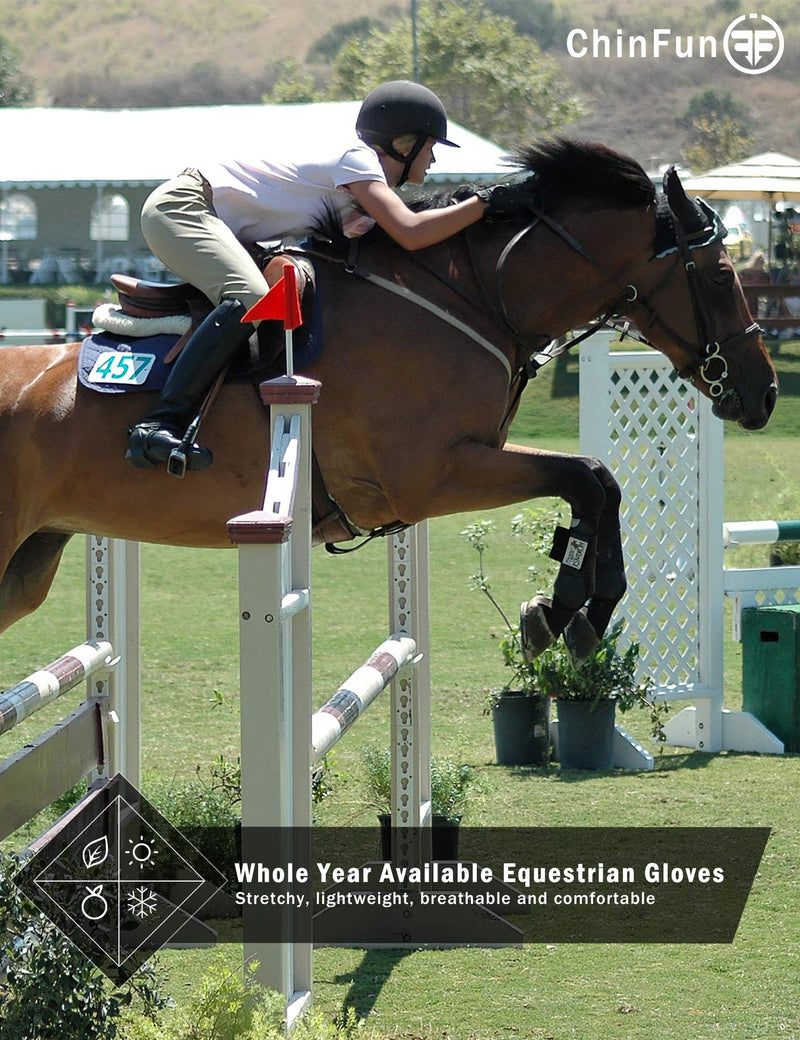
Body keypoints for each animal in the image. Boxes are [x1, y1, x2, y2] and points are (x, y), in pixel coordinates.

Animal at [0, 138, 778, 661]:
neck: (474, 296)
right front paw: (565, 611)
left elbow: (599, 482)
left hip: (28, 566)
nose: (764, 394)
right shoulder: (431, 474)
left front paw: (570, 612)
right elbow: (588, 478)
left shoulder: (460, 463)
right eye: (719, 275)